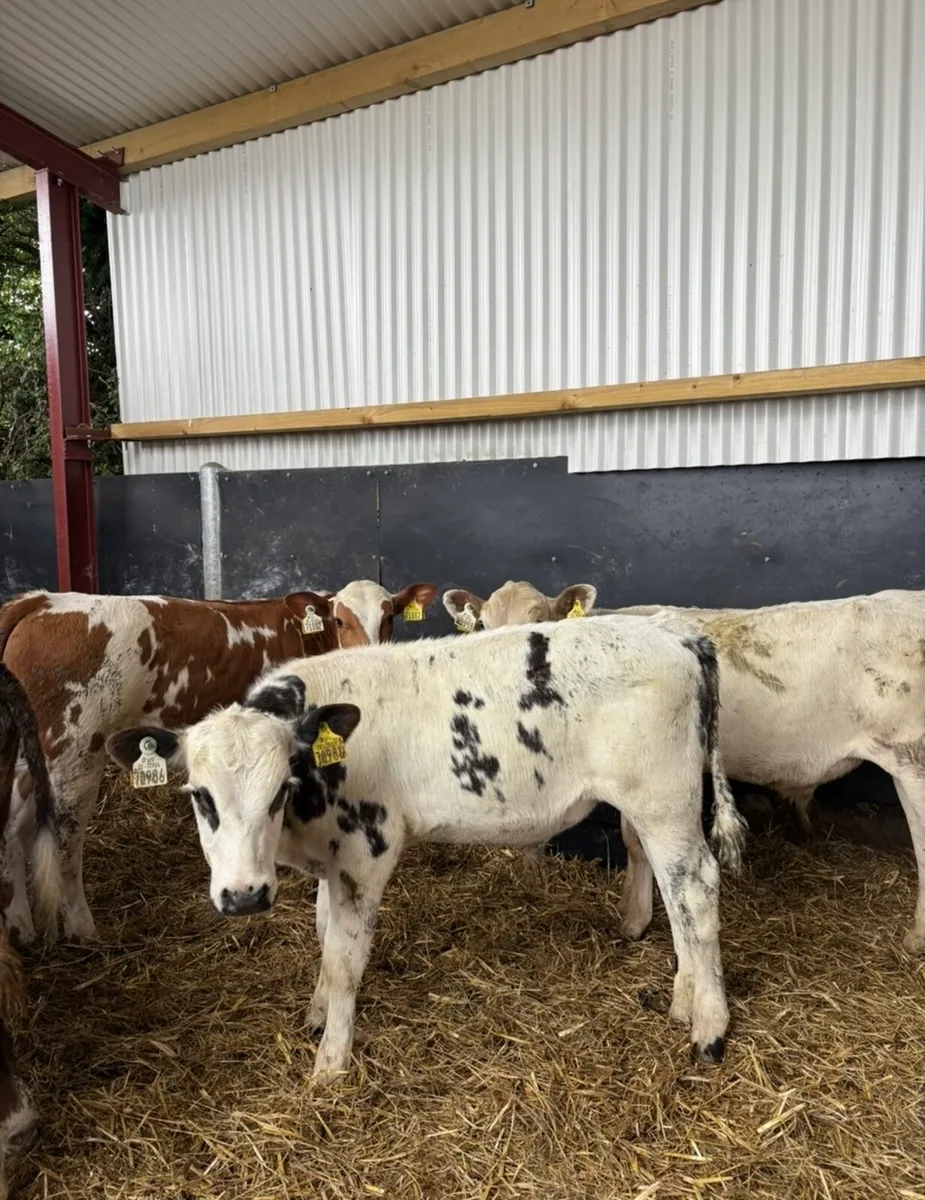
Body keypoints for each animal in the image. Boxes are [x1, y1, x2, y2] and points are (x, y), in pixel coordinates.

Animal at [0, 580, 434, 946]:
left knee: (12, 825)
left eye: (390, 617)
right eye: (340, 619)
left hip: (34, 756)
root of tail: (43, 601)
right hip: (74, 751)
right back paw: (81, 926)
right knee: (65, 836)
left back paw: (20, 924)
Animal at [107, 617, 747, 1078]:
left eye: (279, 790)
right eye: (200, 797)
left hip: (663, 800)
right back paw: (682, 995)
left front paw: (330, 1065)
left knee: (695, 889)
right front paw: (317, 1014)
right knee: (667, 884)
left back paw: (709, 1028)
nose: (244, 896)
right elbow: (323, 935)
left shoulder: (366, 849)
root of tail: (675, 633)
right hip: (651, 806)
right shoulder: (331, 859)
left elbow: (344, 960)